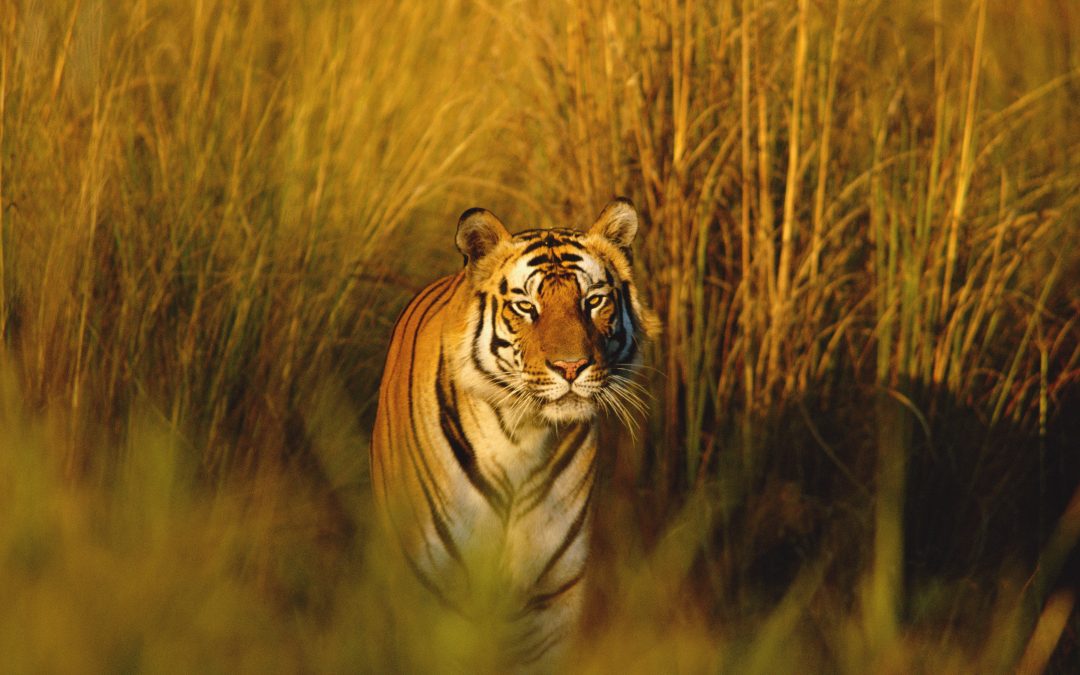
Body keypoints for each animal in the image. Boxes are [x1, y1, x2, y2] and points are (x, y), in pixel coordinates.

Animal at [370, 198, 657, 671]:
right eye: (526, 307)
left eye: (593, 301)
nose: (571, 367)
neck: (522, 437)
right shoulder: (434, 589)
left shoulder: (550, 598)